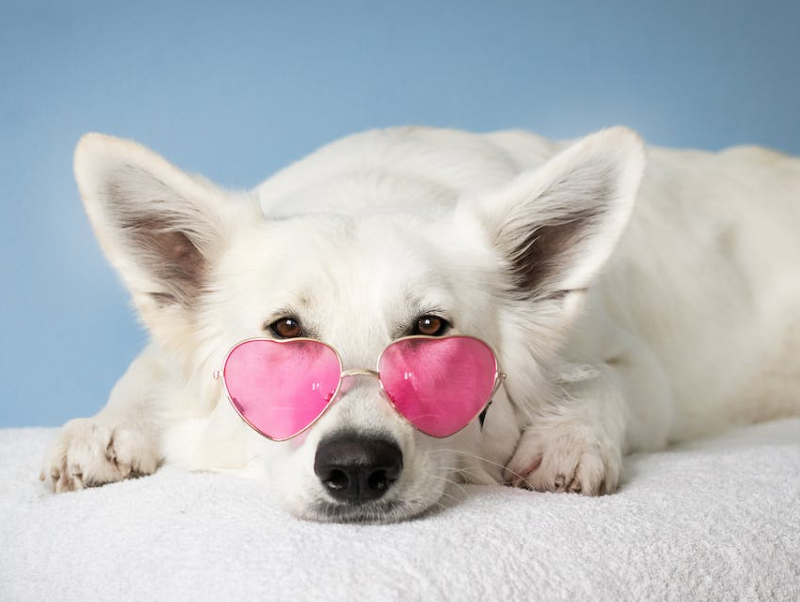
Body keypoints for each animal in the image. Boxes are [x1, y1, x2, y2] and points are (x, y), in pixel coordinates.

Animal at [40, 125, 800, 520]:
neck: (377, 184)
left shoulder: (641, 371)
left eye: (431, 332)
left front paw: (566, 440)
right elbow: (145, 373)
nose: (355, 469)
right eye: (286, 333)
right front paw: (104, 428)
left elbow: (596, 383)